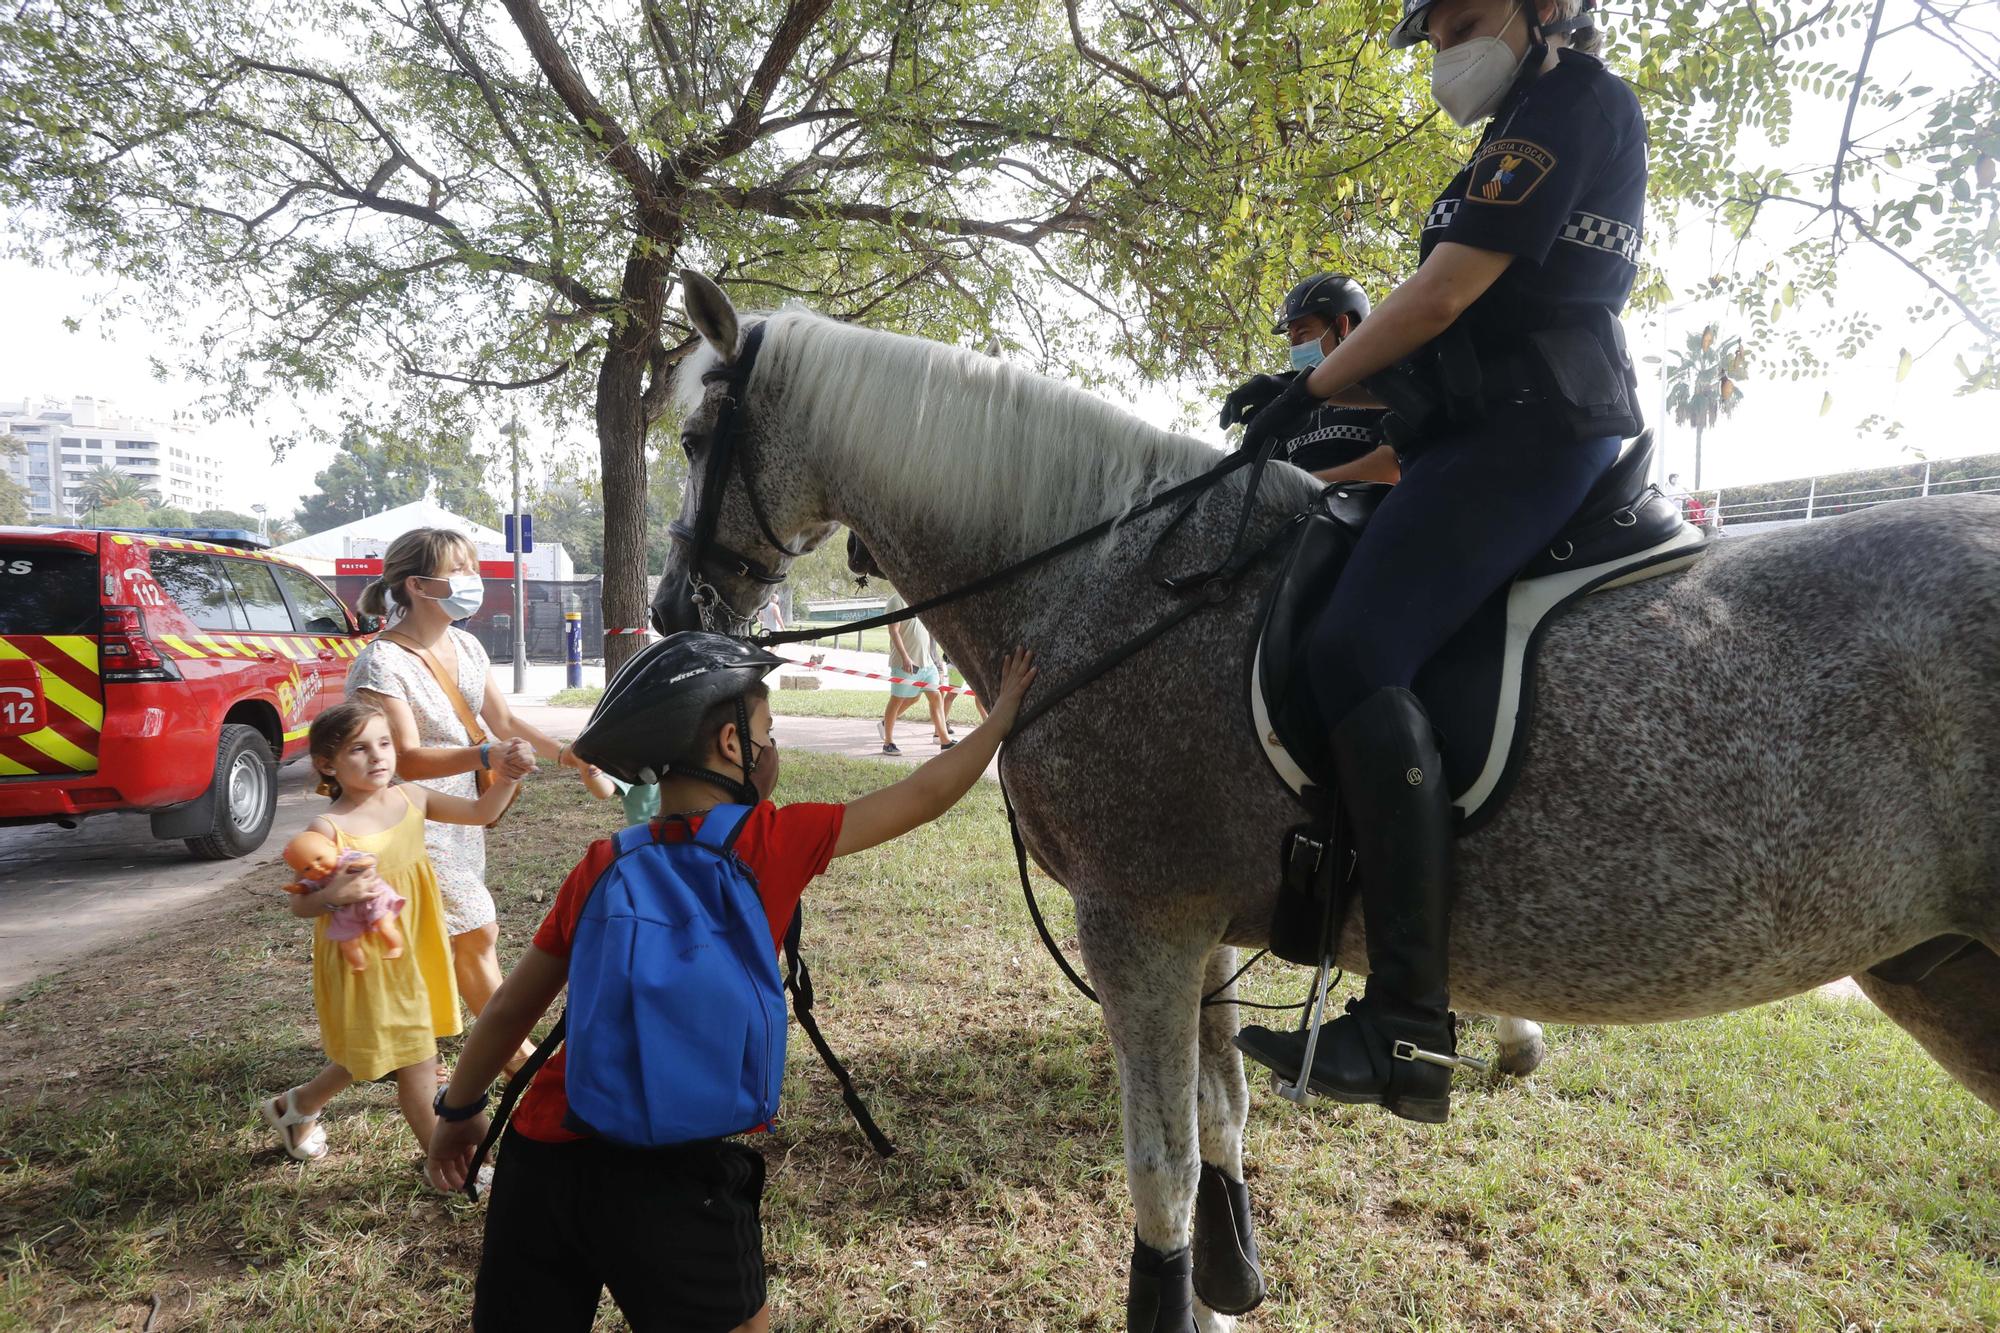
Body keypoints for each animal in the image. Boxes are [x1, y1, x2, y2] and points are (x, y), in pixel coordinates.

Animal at [656, 272, 2000, 1328]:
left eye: (694, 433)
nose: (675, 608)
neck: (1104, 580)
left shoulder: (1136, 924)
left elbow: (1159, 1168)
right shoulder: (1199, 932)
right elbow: (1221, 1130)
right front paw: (1225, 1287)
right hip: (1939, 971)